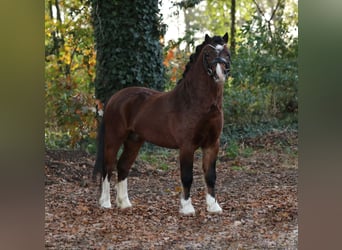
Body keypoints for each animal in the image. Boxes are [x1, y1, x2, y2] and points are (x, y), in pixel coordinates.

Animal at [93, 32, 231, 215]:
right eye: (208, 54)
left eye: (227, 54)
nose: (220, 74)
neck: (194, 101)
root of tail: (115, 98)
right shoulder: (187, 146)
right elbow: (187, 176)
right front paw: (187, 208)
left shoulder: (212, 144)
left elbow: (210, 175)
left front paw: (214, 206)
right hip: (113, 138)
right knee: (108, 167)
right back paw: (105, 203)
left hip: (134, 140)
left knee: (123, 166)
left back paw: (125, 203)